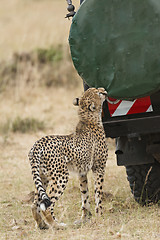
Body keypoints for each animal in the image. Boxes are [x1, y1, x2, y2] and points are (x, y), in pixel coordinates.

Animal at [28, 87, 109, 230]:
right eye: (98, 92)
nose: (104, 90)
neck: (90, 119)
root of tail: (38, 143)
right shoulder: (99, 167)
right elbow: (98, 193)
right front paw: (100, 216)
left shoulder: (81, 172)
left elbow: (85, 195)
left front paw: (85, 217)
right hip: (61, 176)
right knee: (48, 206)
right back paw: (57, 225)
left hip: (43, 177)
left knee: (35, 203)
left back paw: (42, 225)